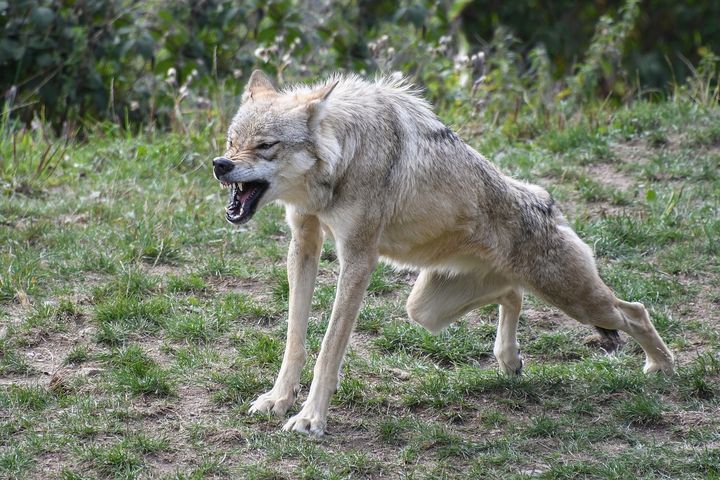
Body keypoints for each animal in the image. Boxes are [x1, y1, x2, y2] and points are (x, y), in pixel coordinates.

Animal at [211, 70, 672, 436]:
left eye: (265, 145)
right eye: (232, 141)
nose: (220, 165)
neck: (344, 156)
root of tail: (546, 200)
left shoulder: (358, 259)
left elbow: (328, 348)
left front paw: (310, 419)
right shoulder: (303, 243)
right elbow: (295, 338)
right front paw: (278, 399)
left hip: (576, 300)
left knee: (635, 311)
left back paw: (662, 369)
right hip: (426, 310)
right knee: (512, 294)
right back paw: (509, 360)